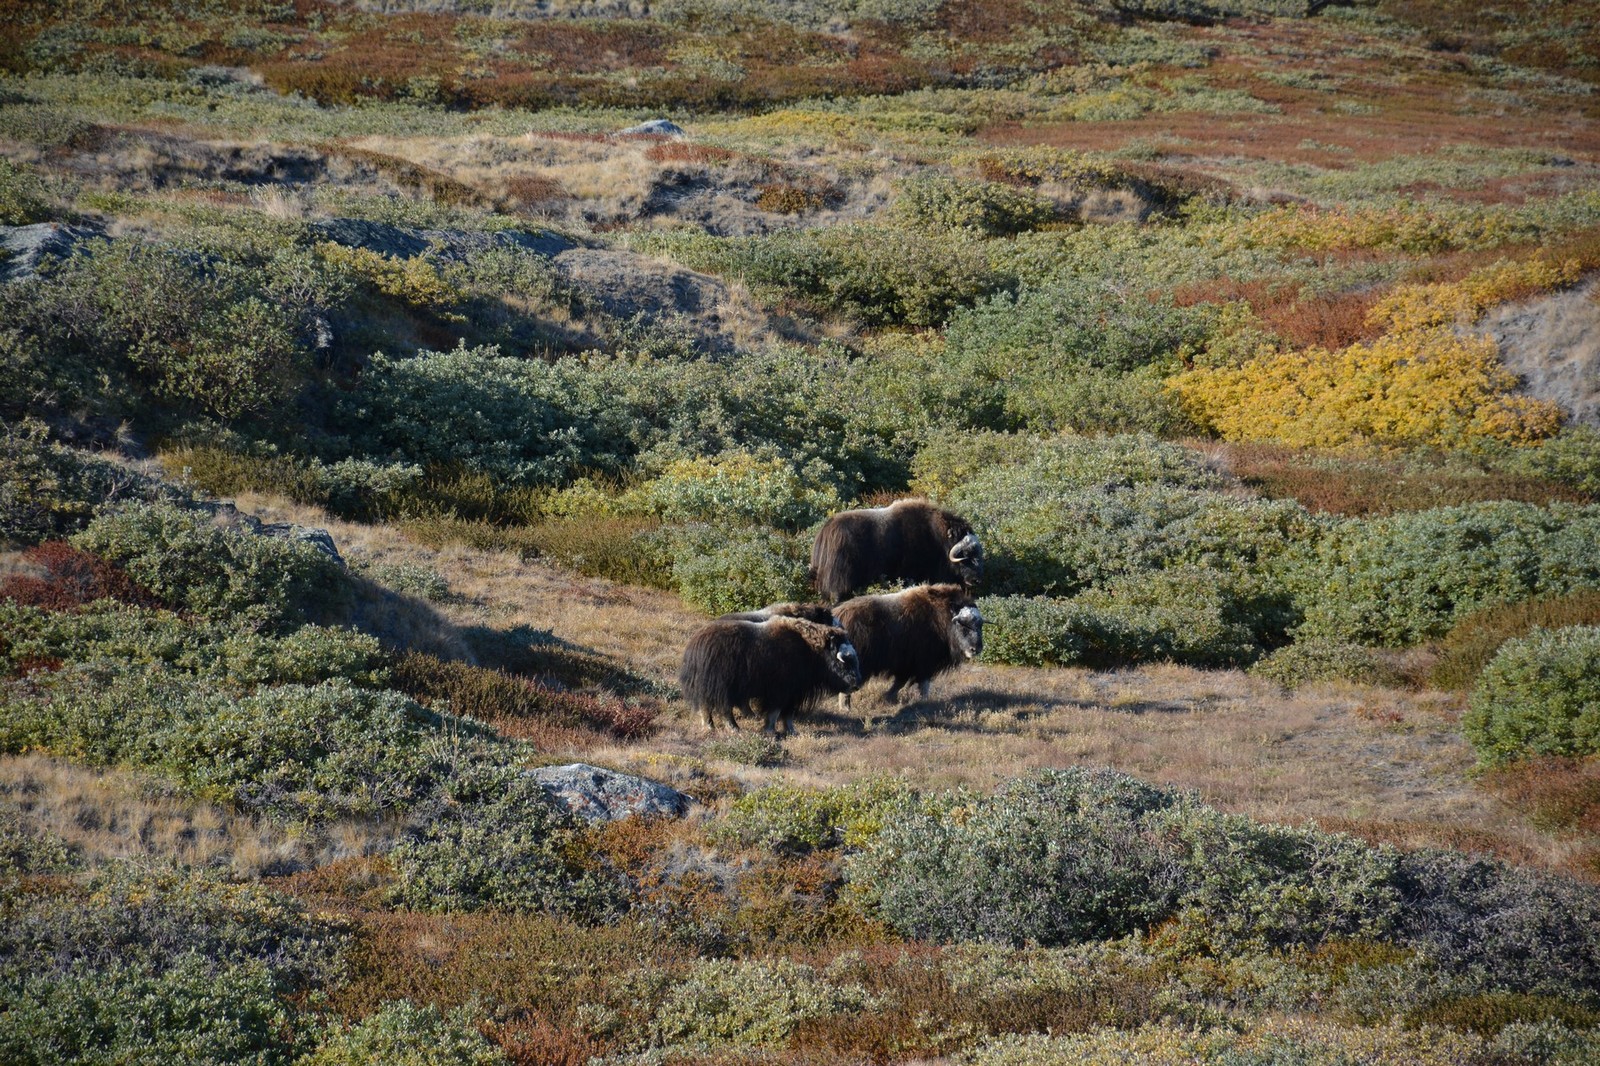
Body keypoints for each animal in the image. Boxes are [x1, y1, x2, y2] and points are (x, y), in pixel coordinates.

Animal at [678, 614, 864, 729]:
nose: (857, 684)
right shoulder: (781, 691)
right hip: (723, 688)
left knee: (706, 706)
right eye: (845, 660)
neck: (811, 651)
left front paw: (791, 731)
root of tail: (695, 645)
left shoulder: (793, 693)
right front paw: (770, 731)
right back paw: (734, 728)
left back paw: (710, 726)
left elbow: (788, 714)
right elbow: (775, 712)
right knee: (724, 709)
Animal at [832, 582, 979, 704]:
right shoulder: (924, 661)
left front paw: (888, 697)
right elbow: (923, 683)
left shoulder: (907, 664)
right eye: (963, 625)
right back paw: (845, 708)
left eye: (980, 624)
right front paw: (925, 702)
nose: (975, 649)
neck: (941, 619)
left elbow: (900, 682)